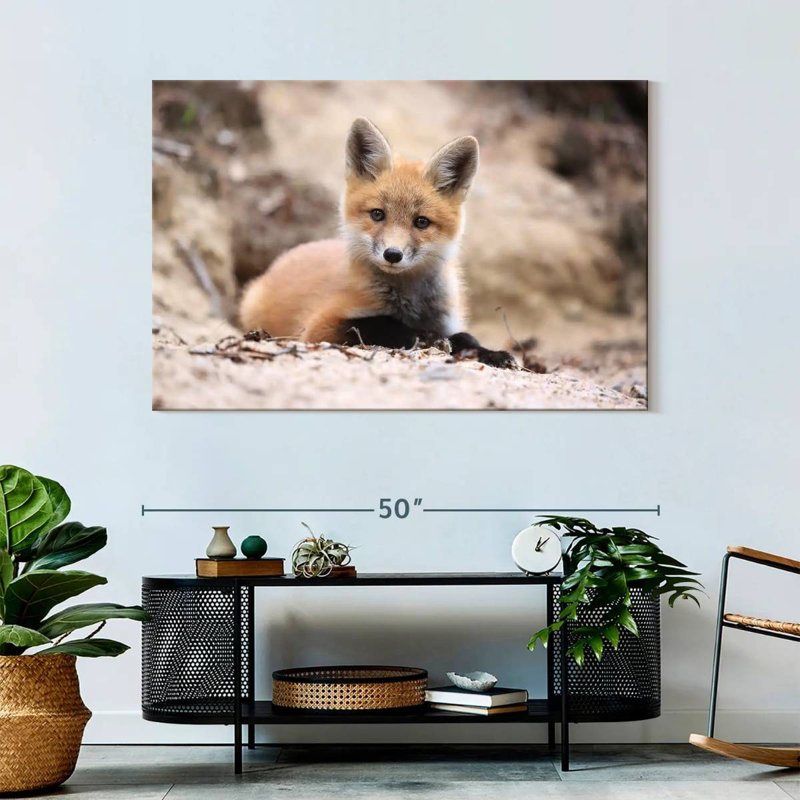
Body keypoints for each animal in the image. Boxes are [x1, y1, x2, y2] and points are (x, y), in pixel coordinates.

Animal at [239, 117, 516, 368]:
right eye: (377, 214)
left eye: (421, 222)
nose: (392, 254)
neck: (410, 304)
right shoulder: (318, 327)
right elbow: (383, 324)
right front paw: (424, 336)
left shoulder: (448, 321)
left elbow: (468, 338)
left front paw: (493, 354)